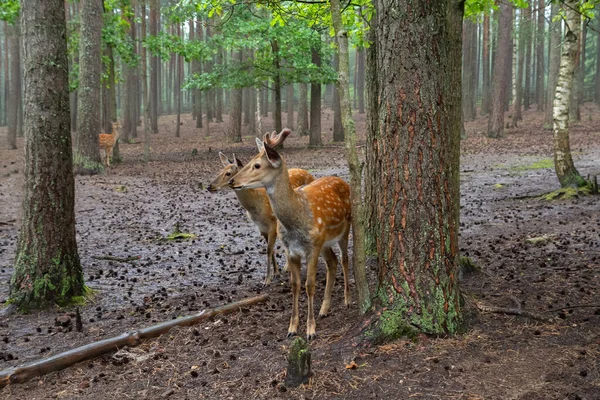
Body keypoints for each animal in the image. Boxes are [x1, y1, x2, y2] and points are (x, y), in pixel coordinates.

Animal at [207, 152, 314, 286]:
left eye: (228, 173)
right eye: (220, 170)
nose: (209, 186)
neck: (256, 207)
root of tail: (310, 174)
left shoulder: (273, 224)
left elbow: (268, 250)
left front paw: (267, 279)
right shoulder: (261, 228)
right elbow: (271, 250)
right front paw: (276, 273)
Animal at [229, 129, 352, 340]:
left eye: (257, 164)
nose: (232, 181)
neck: (296, 221)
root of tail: (342, 180)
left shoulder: (312, 248)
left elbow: (309, 285)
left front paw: (310, 330)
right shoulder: (291, 250)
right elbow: (295, 285)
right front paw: (292, 328)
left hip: (347, 226)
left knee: (344, 259)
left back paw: (347, 300)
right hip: (325, 242)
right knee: (333, 262)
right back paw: (324, 309)